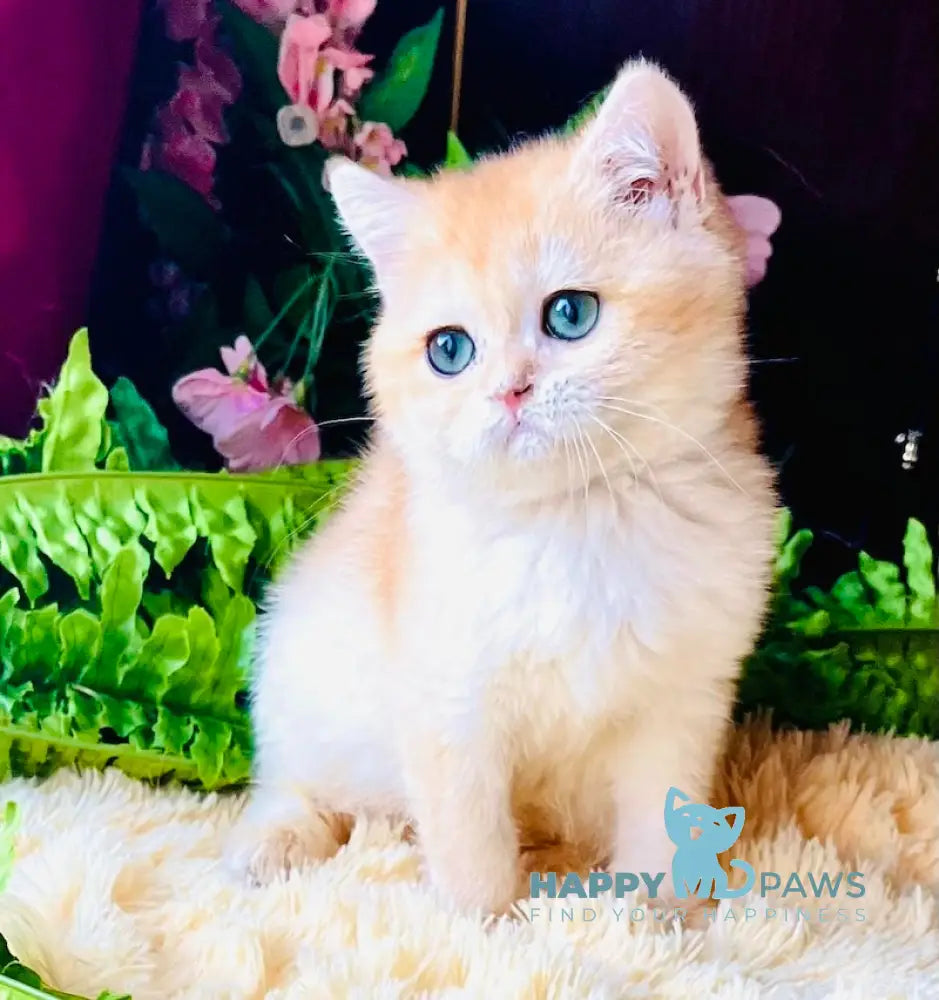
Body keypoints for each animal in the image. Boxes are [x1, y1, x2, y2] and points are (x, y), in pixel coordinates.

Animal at [228, 56, 780, 916]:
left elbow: (664, 819)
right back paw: (276, 839)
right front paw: (484, 924)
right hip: (299, 668)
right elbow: (468, 837)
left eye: (570, 314)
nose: (509, 393)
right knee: (297, 778)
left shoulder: (682, 701)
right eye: (449, 350)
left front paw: (659, 918)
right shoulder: (446, 701)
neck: (579, 516)